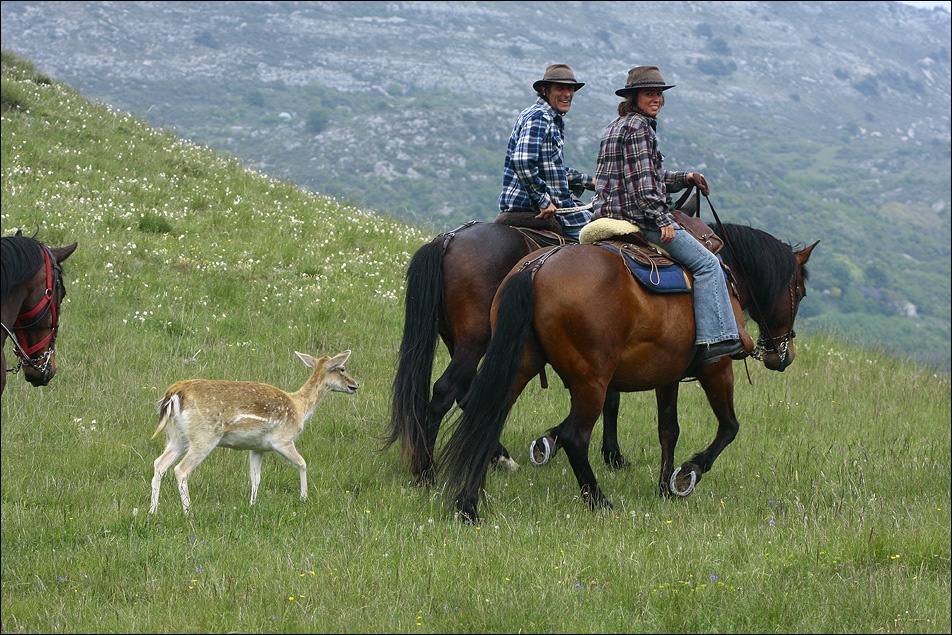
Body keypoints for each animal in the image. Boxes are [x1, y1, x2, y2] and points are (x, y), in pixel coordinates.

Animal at [149, 350, 356, 516]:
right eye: (342, 368)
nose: (355, 385)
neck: (300, 408)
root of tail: (173, 394)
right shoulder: (283, 439)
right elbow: (302, 463)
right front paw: (304, 497)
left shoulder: (257, 447)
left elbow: (255, 477)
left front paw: (252, 505)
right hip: (204, 436)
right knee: (181, 469)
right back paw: (188, 511)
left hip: (177, 437)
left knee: (159, 463)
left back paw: (153, 510)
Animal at [384, 221, 628, 484]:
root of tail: (450, 239)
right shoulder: (599, 357)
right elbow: (610, 400)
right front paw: (613, 455)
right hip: (473, 342)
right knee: (447, 391)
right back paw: (429, 471)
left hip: (456, 342)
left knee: (467, 394)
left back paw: (497, 457)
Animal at [438, 221, 820, 524]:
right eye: (799, 291)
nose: (783, 355)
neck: (726, 276)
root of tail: (538, 266)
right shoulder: (717, 367)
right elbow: (729, 427)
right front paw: (687, 474)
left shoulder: (668, 376)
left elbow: (669, 430)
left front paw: (664, 487)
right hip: (591, 380)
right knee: (576, 437)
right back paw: (599, 501)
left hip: (520, 367)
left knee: (486, 418)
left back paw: (469, 505)